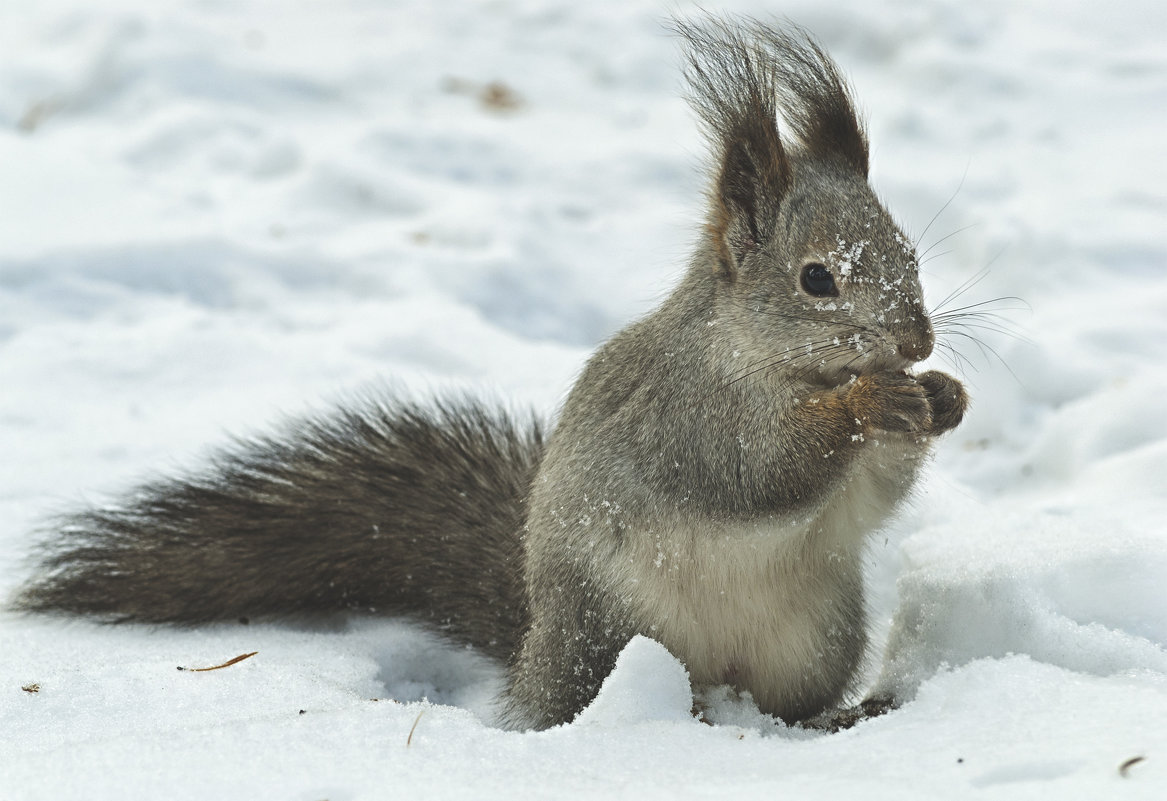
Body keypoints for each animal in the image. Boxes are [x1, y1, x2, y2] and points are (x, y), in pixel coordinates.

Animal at [13, 17, 970, 733]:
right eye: (816, 279)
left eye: (910, 254)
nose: (915, 339)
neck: (760, 355)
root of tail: (532, 644)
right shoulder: (684, 415)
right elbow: (757, 469)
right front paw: (871, 398)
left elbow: (870, 494)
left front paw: (943, 398)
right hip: (605, 628)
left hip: (814, 634)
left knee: (791, 702)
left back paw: (833, 716)